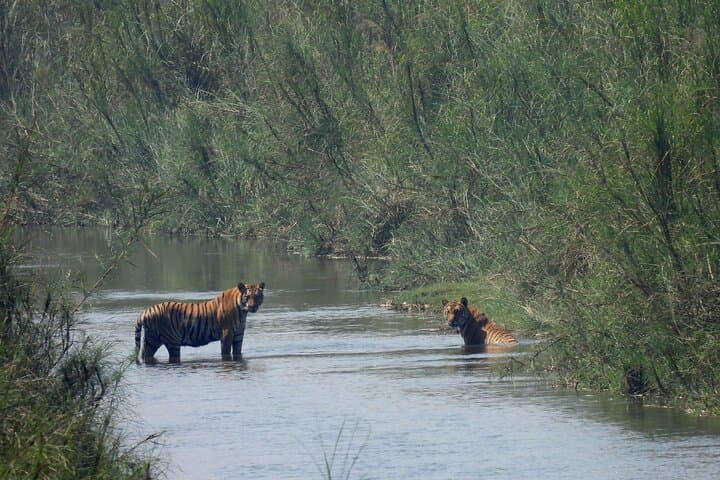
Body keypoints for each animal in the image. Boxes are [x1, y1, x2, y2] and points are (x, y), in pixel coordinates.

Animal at [134, 282, 265, 363]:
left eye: (257, 296)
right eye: (247, 297)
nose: (253, 307)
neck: (243, 311)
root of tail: (146, 311)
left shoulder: (238, 334)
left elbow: (238, 352)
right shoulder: (227, 333)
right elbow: (226, 352)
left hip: (152, 340)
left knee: (146, 355)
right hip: (172, 342)